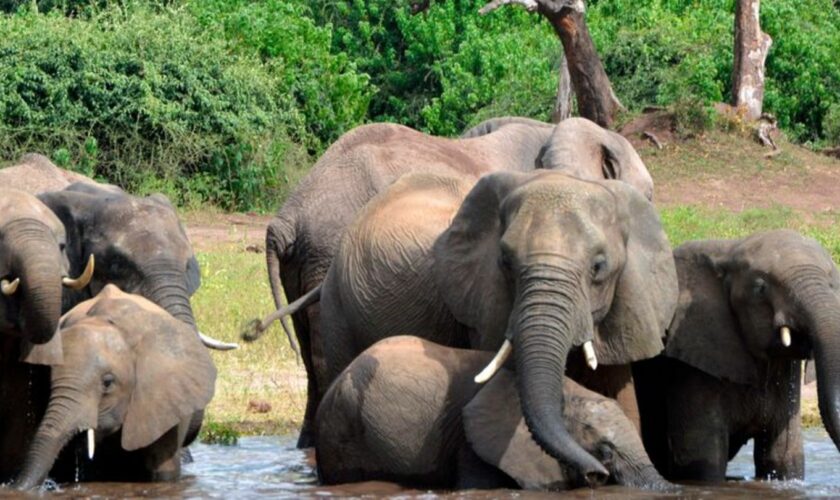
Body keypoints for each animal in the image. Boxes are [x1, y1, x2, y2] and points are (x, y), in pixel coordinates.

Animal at [632, 229, 840, 480]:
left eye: (832, 284)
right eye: (760, 288)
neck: (730, 250)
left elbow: (784, 458)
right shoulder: (692, 361)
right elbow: (704, 463)